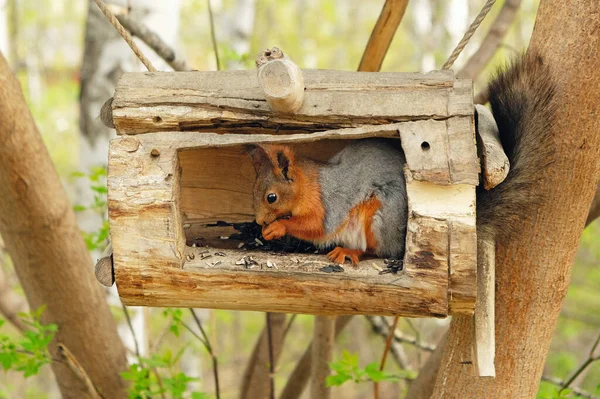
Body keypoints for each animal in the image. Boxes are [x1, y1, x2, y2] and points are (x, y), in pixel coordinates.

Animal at [246, 52, 556, 266]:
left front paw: (278, 227)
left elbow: (317, 227)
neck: (308, 185)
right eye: (253, 189)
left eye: (271, 197)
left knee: (378, 251)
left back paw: (349, 251)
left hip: (381, 216)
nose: (259, 220)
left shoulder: (329, 203)